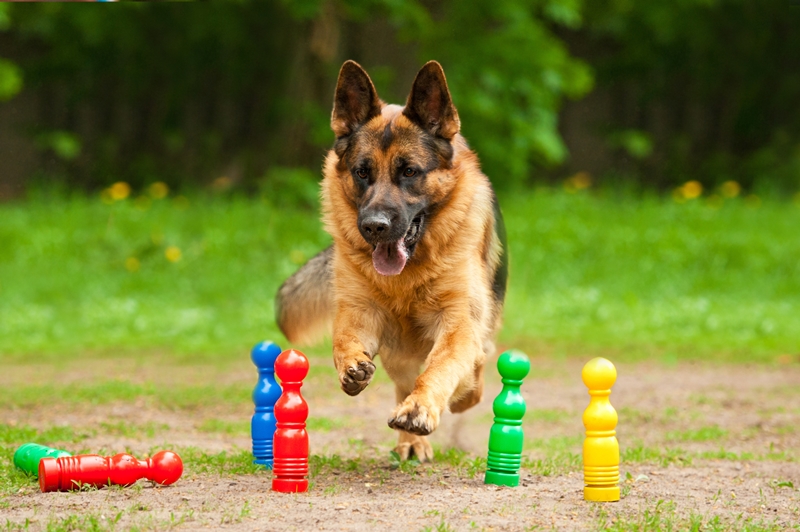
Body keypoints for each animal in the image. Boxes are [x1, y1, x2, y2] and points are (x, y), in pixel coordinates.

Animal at [276, 61, 506, 462]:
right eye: (362, 172)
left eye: (410, 171)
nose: (374, 226)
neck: (408, 275)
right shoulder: (359, 311)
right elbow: (343, 340)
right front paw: (351, 365)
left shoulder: (458, 323)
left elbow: (443, 366)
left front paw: (421, 408)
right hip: (399, 355)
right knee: (404, 380)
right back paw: (411, 442)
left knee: (470, 370)